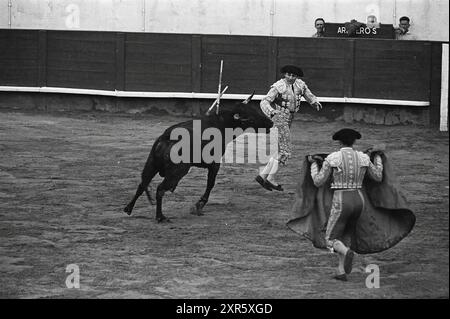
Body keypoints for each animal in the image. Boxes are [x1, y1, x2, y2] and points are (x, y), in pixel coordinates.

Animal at [123, 94, 272, 221]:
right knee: (160, 189)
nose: (270, 122)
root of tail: (166, 137)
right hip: (177, 172)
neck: (221, 123)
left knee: (142, 184)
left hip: (151, 164)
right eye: (250, 117)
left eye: (255, 109)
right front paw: (199, 205)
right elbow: (210, 184)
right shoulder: (214, 164)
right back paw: (160, 217)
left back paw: (128, 208)